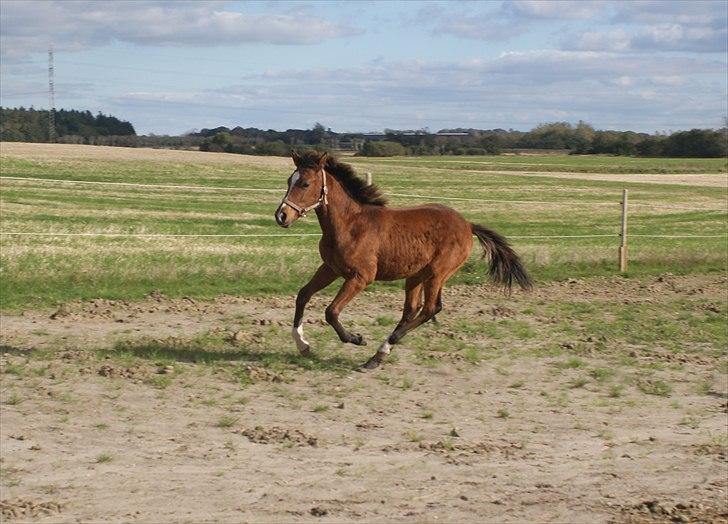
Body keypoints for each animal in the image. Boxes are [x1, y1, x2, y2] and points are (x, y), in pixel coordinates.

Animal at [272, 149, 528, 370]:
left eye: (305, 184)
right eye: (289, 181)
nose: (282, 216)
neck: (350, 225)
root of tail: (467, 225)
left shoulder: (361, 277)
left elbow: (331, 311)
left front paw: (357, 338)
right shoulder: (330, 268)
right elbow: (303, 295)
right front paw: (303, 345)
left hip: (437, 272)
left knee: (431, 308)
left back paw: (385, 345)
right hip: (416, 275)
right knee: (411, 310)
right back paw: (377, 356)